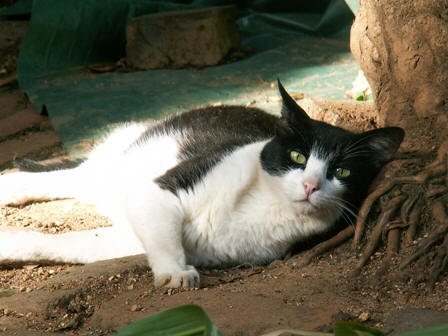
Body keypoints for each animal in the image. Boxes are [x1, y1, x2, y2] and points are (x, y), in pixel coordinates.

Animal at [0, 80, 404, 288]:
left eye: (343, 173)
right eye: (297, 157)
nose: (310, 185)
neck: (266, 205)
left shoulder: (128, 238)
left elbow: (72, 245)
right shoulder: (158, 191)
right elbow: (164, 239)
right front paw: (174, 273)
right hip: (127, 159)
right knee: (73, 174)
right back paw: (11, 186)